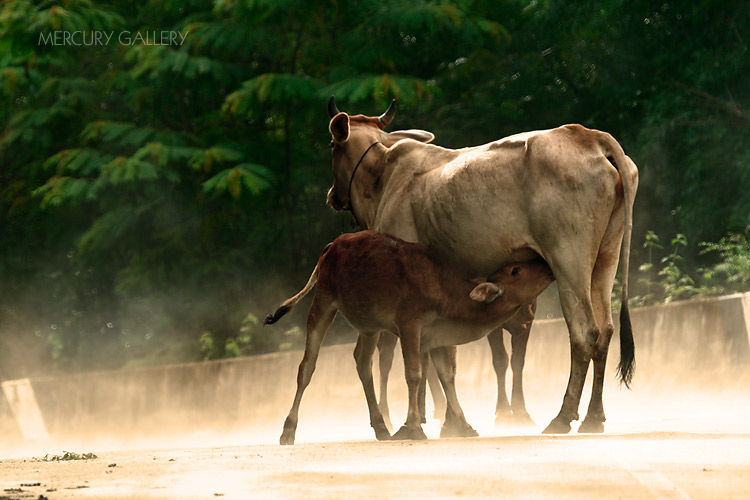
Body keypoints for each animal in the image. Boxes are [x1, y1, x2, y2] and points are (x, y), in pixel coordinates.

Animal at [262, 230, 552, 446]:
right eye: (516, 270)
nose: (547, 266)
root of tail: (333, 244)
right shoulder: (409, 325)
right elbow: (414, 374)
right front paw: (412, 427)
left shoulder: (436, 335)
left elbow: (447, 376)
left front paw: (464, 424)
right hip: (323, 303)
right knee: (307, 366)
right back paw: (288, 430)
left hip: (369, 325)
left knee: (362, 362)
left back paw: (381, 427)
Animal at [326, 96, 636, 434]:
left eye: (332, 144)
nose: (332, 196)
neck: (383, 177)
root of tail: (589, 137)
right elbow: (445, 355)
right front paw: (450, 421)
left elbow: (431, 357)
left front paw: (436, 420)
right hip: (606, 257)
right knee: (606, 331)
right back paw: (593, 416)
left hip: (569, 259)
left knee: (585, 332)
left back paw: (563, 416)